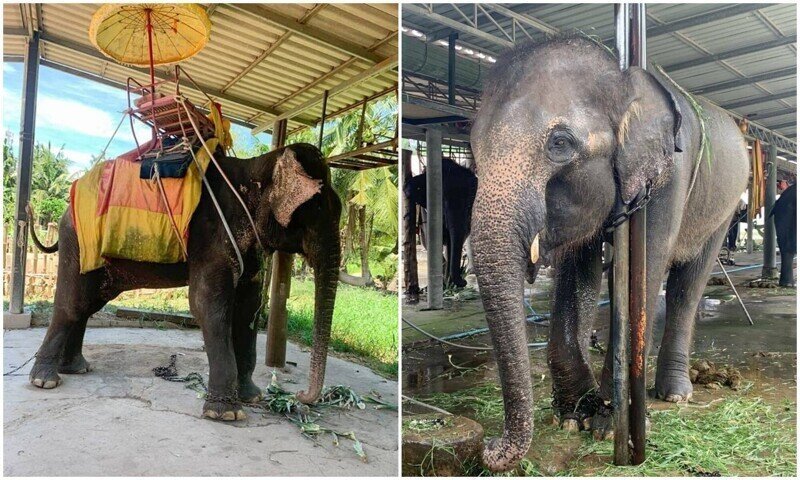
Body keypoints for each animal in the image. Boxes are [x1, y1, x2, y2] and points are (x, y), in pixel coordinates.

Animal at [27, 144, 340, 422]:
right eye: (317, 207)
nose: (300, 396)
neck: (255, 167)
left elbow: (248, 311)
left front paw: (253, 397)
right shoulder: (211, 236)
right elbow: (208, 306)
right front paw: (225, 414)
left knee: (87, 304)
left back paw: (76, 368)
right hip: (78, 243)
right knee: (73, 303)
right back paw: (45, 381)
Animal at [468, 35, 752, 470]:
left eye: (560, 143)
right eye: (473, 149)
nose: (489, 445)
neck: (621, 77)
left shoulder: (670, 176)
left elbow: (645, 270)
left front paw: (607, 425)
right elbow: (577, 273)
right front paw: (573, 416)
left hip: (725, 206)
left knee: (687, 287)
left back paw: (674, 394)